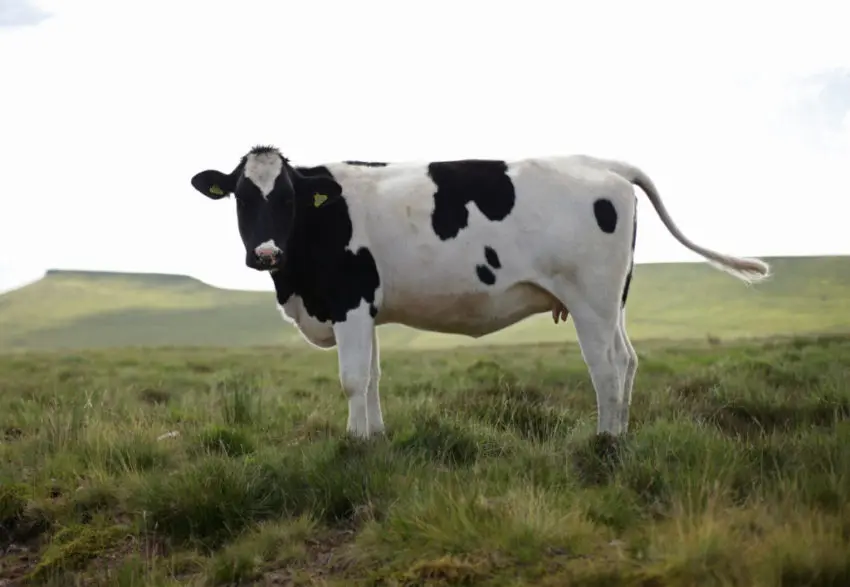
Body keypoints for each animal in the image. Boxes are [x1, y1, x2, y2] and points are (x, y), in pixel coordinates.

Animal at [190, 145, 770, 439]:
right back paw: (621, 433)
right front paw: (375, 438)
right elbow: (373, 378)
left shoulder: (349, 302)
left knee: (605, 367)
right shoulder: (368, 309)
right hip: (612, 301)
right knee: (626, 360)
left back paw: (605, 440)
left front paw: (353, 443)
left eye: (287, 197)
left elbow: (353, 380)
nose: (266, 253)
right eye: (241, 197)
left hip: (590, 298)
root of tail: (599, 163)